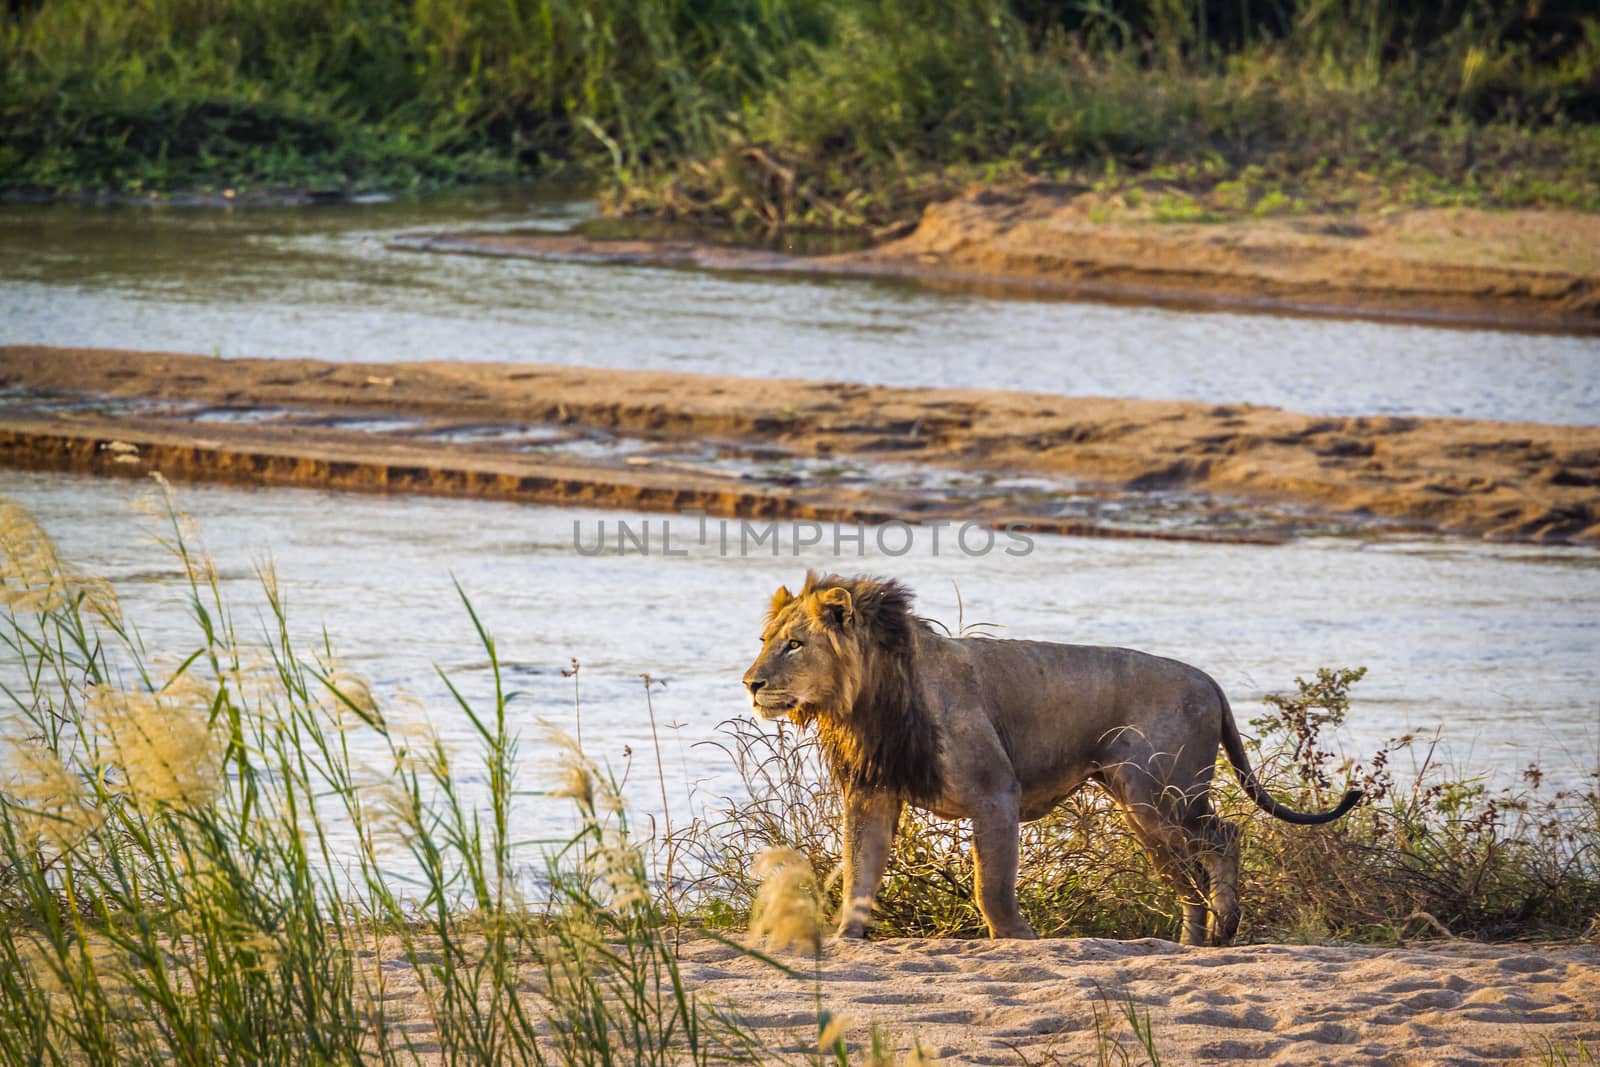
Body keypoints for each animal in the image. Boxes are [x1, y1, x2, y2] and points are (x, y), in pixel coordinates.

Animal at [742, 572, 1356, 947]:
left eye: (795, 644)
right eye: (765, 638)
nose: (751, 683)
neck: (868, 702)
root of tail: (1210, 681)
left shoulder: (996, 791)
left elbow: (991, 883)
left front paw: (1017, 939)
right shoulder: (872, 792)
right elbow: (859, 873)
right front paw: (846, 939)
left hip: (1156, 795)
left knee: (1223, 836)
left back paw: (1223, 928)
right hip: (1146, 808)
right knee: (1194, 869)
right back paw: (1194, 942)